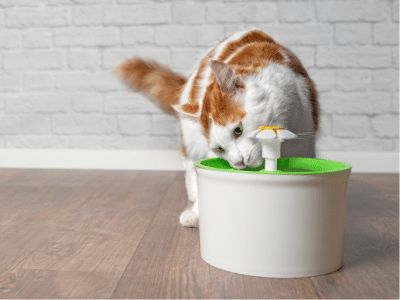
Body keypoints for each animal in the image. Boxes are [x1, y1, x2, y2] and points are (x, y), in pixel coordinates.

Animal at [114, 29, 320, 227]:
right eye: (220, 148)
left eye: (238, 130)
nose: (239, 162)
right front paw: (196, 213)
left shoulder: (305, 137)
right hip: (191, 137)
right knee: (189, 162)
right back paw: (193, 192)